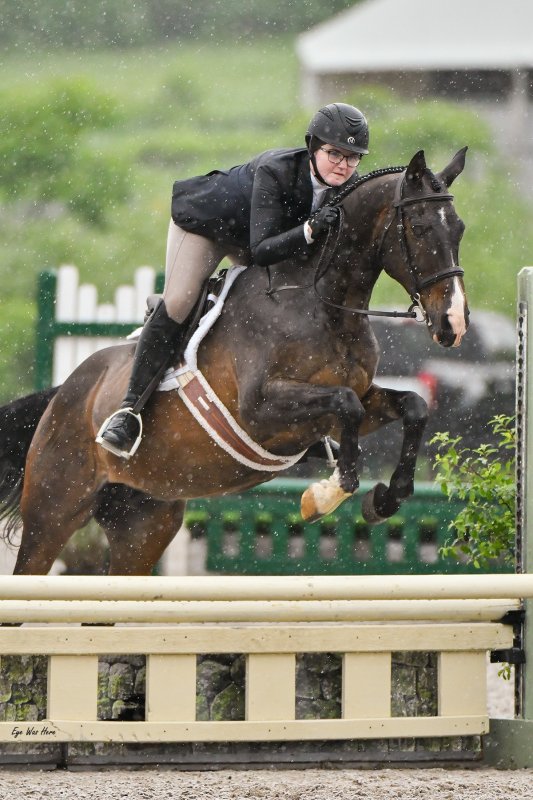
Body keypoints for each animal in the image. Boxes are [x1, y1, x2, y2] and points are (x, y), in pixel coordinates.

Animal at [0, 148, 469, 576]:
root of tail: (62, 392)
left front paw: (385, 498)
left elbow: (411, 406)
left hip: (143, 522)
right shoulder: (260, 408)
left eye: (460, 229)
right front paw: (328, 494)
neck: (321, 303)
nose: (454, 323)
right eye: (421, 228)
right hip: (53, 512)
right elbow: (346, 405)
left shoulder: (351, 402)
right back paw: (120, 427)